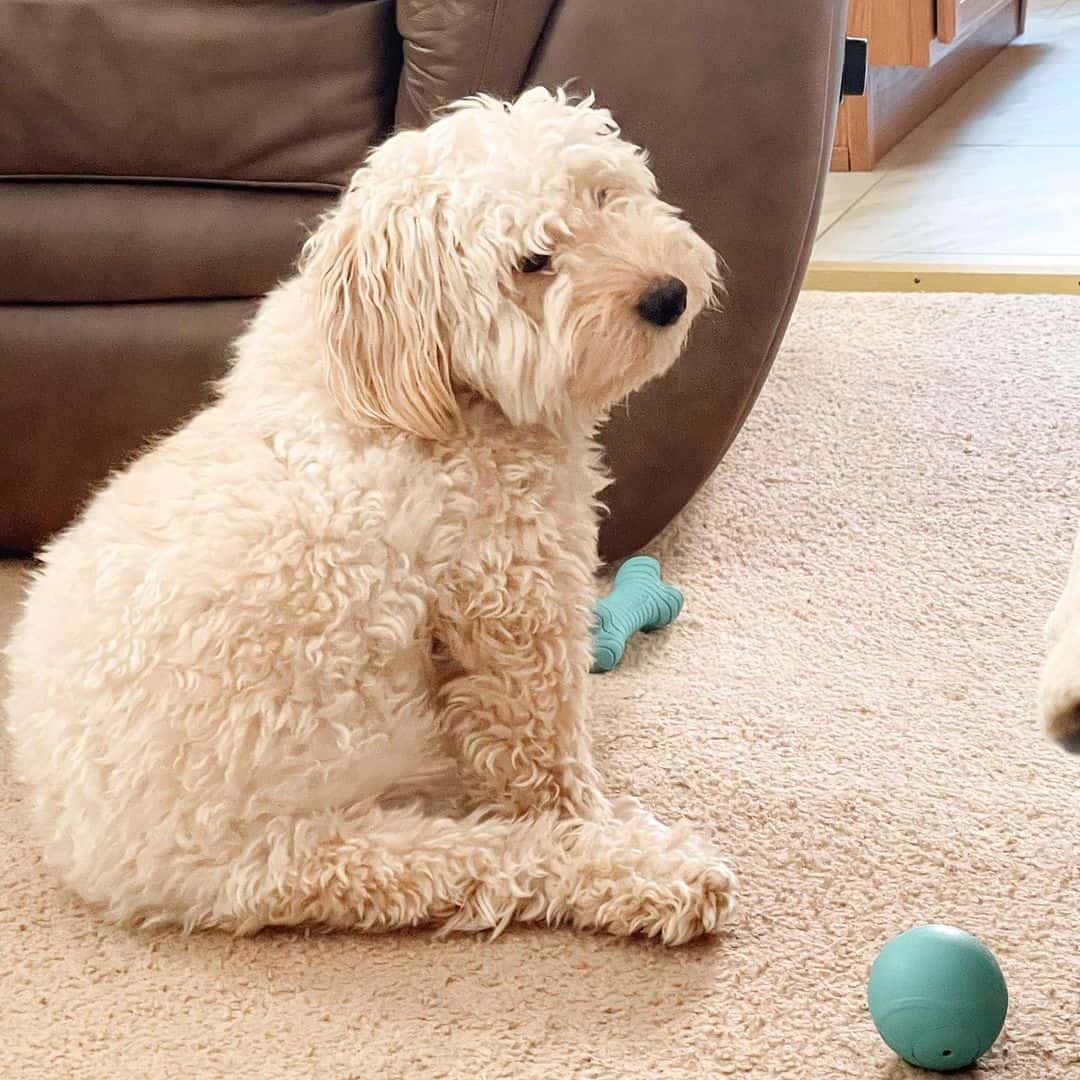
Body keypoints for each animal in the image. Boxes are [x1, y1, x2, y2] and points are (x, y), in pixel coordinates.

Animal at [2, 88, 734, 941]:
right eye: (533, 262)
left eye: (603, 195)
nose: (667, 295)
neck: (406, 384)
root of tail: (89, 853)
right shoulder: (514, 604)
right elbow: (545, 762)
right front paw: (592, 815)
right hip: (321, 852)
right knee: (506, 864)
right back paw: (657, 876)